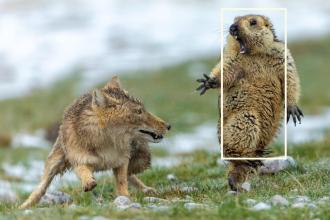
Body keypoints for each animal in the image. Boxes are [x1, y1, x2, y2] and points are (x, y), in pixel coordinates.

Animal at [18, 75, 170, 208]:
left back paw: (147, 189)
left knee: (131, 176)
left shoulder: (121, 161)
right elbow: (83, 171)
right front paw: (88, 183)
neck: (106, 143)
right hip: (54, 163)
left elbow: (122, 182)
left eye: (143, 109)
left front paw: (125, 198)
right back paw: (23, 206)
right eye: (139, 112)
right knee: (40, 188)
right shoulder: (80, 160)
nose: (168, 126)